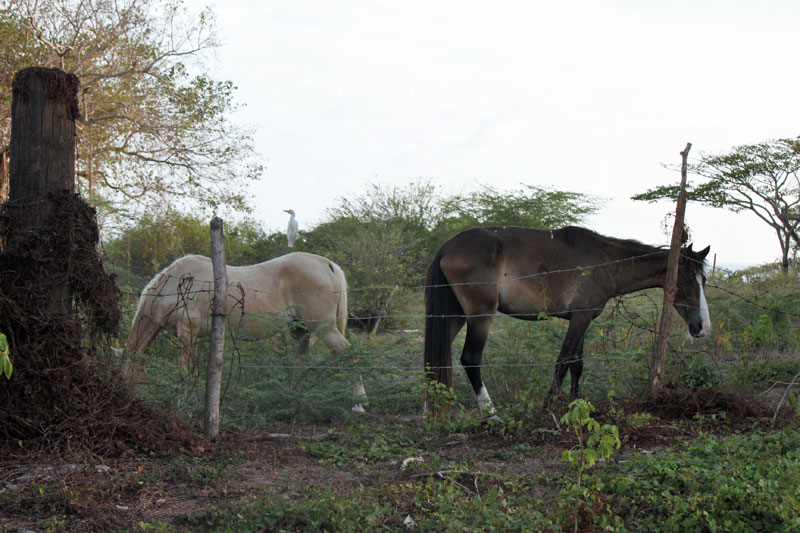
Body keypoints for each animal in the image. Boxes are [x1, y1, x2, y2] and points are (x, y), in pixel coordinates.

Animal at [123, 251, 368, 410]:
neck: (175, 285)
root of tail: (327, 264)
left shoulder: (187, 333)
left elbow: (184, 370)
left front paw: (183, 401)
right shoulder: (198, 338)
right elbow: (193, 369)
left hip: (323, 328)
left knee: (351, 357)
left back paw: (359, 403)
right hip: (300, 331)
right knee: (302, 363)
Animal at [422, 224, 708, 416]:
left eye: (703, 280)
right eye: (686, 280)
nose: (702, 326)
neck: (605, 262)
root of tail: (447, 247)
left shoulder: (581, 319)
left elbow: (576, 364)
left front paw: (576, 403)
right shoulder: (580, 319)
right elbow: (562, 362)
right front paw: (547, 406)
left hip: (454, 316)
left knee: (435, 359)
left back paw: (431, 409)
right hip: (480, 316)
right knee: (470, 359)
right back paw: (491, 413)